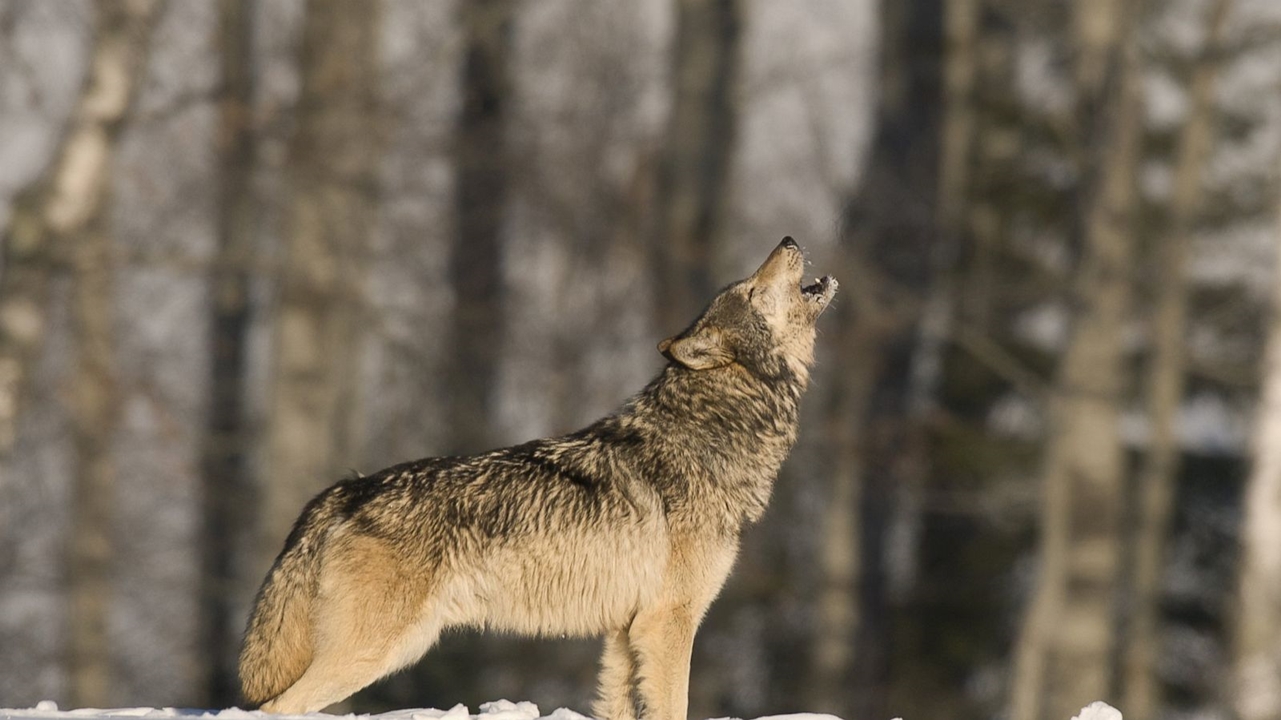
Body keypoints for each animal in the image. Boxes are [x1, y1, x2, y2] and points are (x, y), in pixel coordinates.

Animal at [238, 238, 840, 717]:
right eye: (752, 290)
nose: (788, 238)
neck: (712, 429)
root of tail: (350, 488)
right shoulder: (668, 623)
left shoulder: (625, 631)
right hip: (376, 650)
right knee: (275, 707)